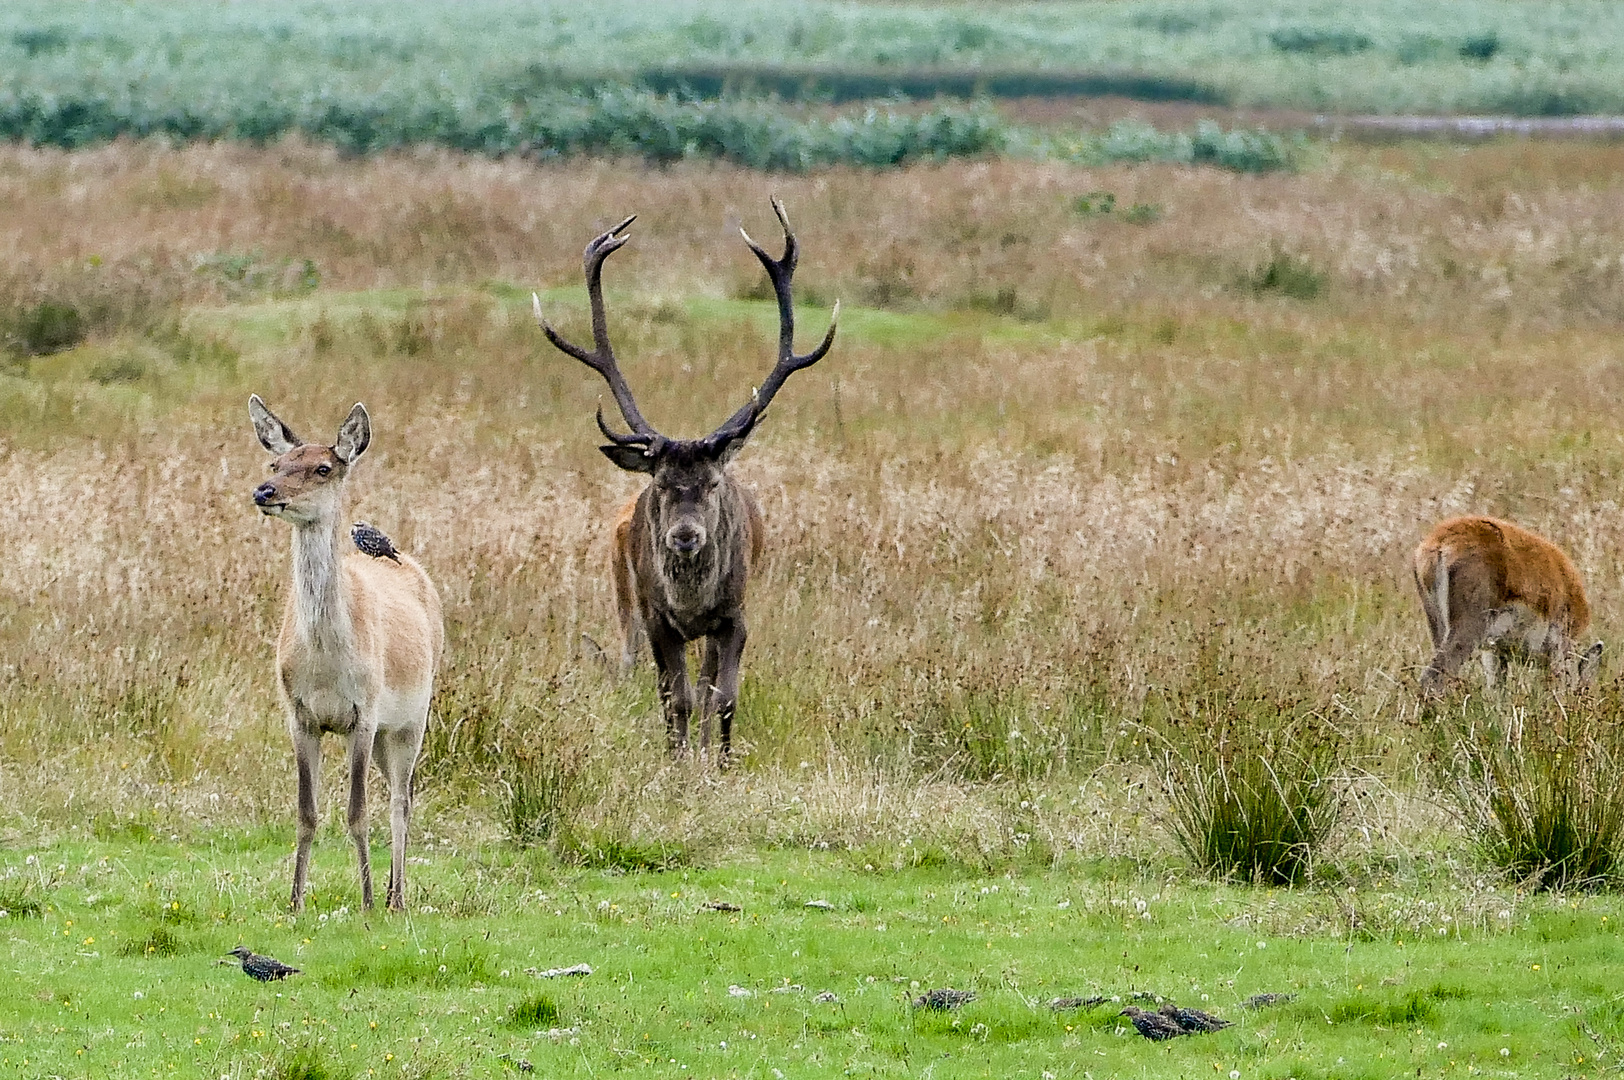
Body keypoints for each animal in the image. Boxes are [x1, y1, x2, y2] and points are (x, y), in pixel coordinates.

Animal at [245, 396, 444, 909]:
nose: (264, 492)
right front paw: (294, 901)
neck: (326, 666)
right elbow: (307, 812)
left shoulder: (364, 712)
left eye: (322, 467)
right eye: (276, 463)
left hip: (411, 718)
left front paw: (368, 901)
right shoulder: (298, 714)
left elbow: (357, 812)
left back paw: (396, 895)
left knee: (401, 799)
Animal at [535, 202, 837, 756]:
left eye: (714, 483)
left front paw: (718, 763)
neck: (692, 603)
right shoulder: (657, 618)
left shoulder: (735, 615)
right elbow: (675, 698)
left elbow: (723, 697)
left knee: (707, 684)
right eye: (660, 483)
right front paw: (676, 764)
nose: (685, 535)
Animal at [1409, 516, 1598, 698]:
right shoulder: (1559, 645)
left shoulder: (1494, 651)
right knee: (1433, 677)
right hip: (1469, 628)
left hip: (1438, 626)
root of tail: (1439, 542)